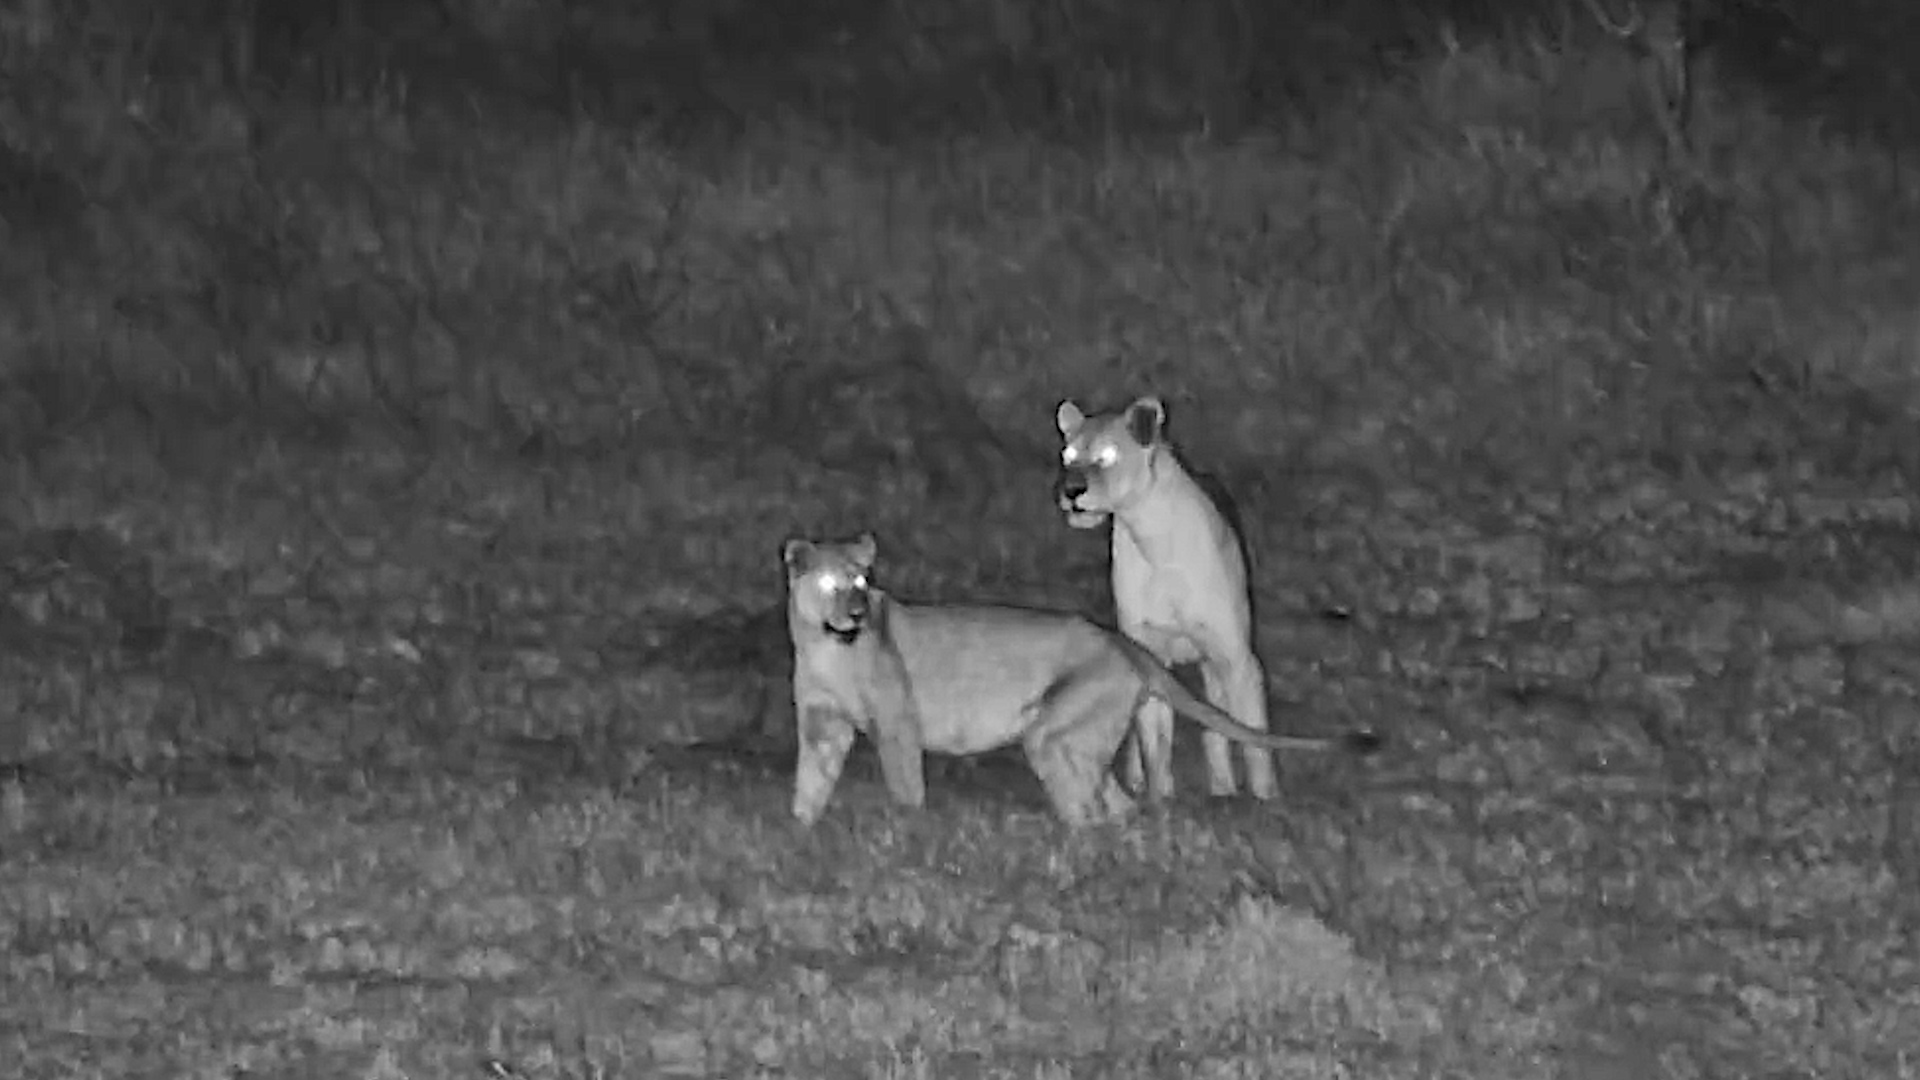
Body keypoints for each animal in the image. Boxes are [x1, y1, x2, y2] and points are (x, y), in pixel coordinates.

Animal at [782, 532, 1379, 828]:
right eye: (834, 583)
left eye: (863, 581)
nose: (857, 612)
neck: (825, 647)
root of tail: (1127, 645)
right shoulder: (821, 726)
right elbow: (810, 782)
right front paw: (800, 828)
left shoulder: (897, 725)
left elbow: (905, 787)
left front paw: (908, 832)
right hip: (1078, 738)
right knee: (1114, 804)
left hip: (1054, 731)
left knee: (1087, 805)